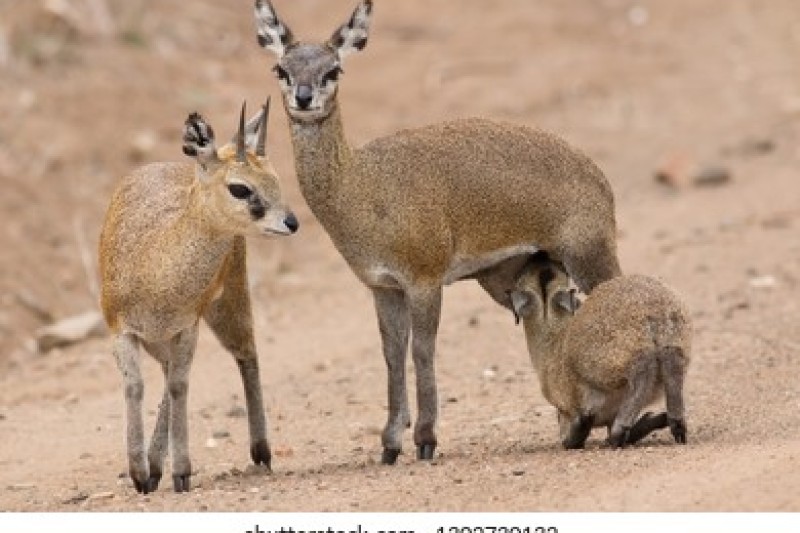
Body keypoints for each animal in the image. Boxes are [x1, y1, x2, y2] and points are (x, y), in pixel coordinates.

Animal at [99, 98, 298, 490]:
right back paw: (154, 467)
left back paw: (261, 453)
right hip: (162, 339)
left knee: (246, 353)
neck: (155, 265)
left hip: (228, 301)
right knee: (167, 375)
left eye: (275, 179)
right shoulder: (122, 330)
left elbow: (179, 386)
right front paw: (139, 473)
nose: (291, 222)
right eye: (240, 188)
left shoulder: (187, 327)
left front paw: (181, 472)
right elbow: (136, 387)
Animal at [253, 1, 620, 462]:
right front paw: (390, 444)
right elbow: (392, 354)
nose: (304, 97)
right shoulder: (383, 286)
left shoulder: (425, 279)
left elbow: (422, 349)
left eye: (333, 69)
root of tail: (600, 178)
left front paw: (426, 438)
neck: (363, 187)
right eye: (281, 69)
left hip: (590, 254)